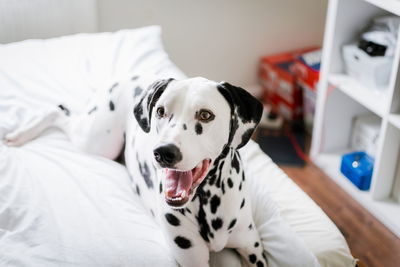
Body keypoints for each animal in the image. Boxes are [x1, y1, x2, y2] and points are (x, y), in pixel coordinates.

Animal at [5, 75, 266, 267]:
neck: (208, 201)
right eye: (160, 111)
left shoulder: (254, 250)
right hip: (96, 141)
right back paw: (20, 135)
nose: (164, 152)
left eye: (205, 115)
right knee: (58, 111)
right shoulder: (190, 258)